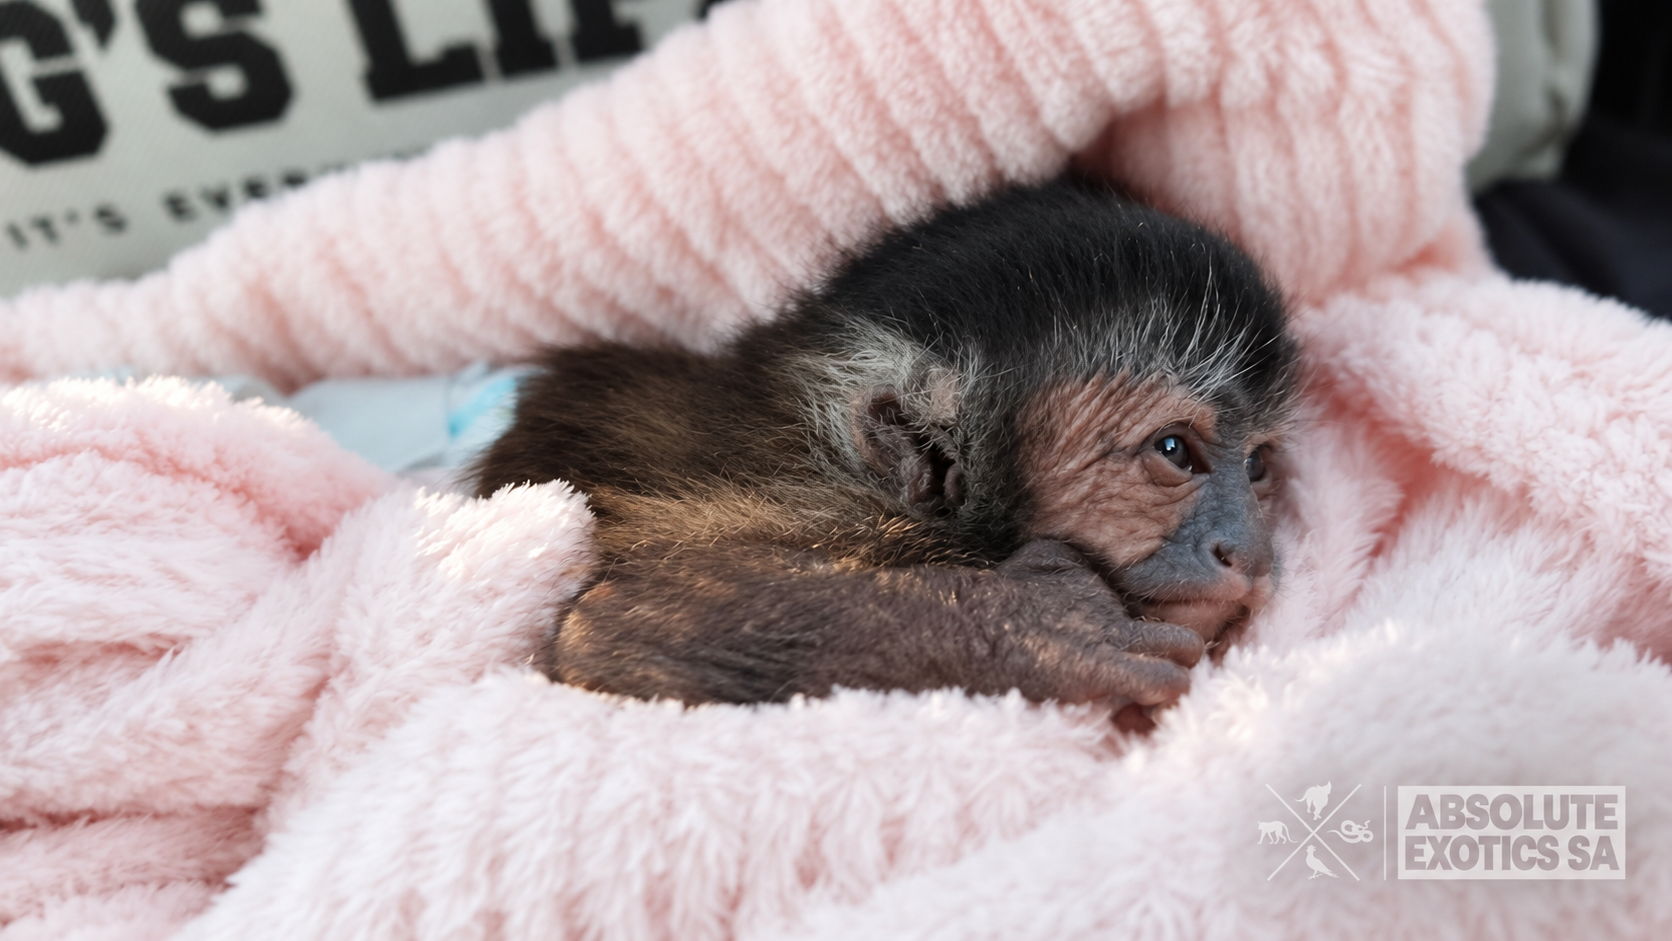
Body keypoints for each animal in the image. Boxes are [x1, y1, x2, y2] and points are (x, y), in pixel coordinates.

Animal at [473, 181, 1299, 726]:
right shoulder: (833, 514)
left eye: (1256, 466)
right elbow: (609, 628)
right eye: (1174, 451)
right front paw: (1037, 628)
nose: (1253, 550)